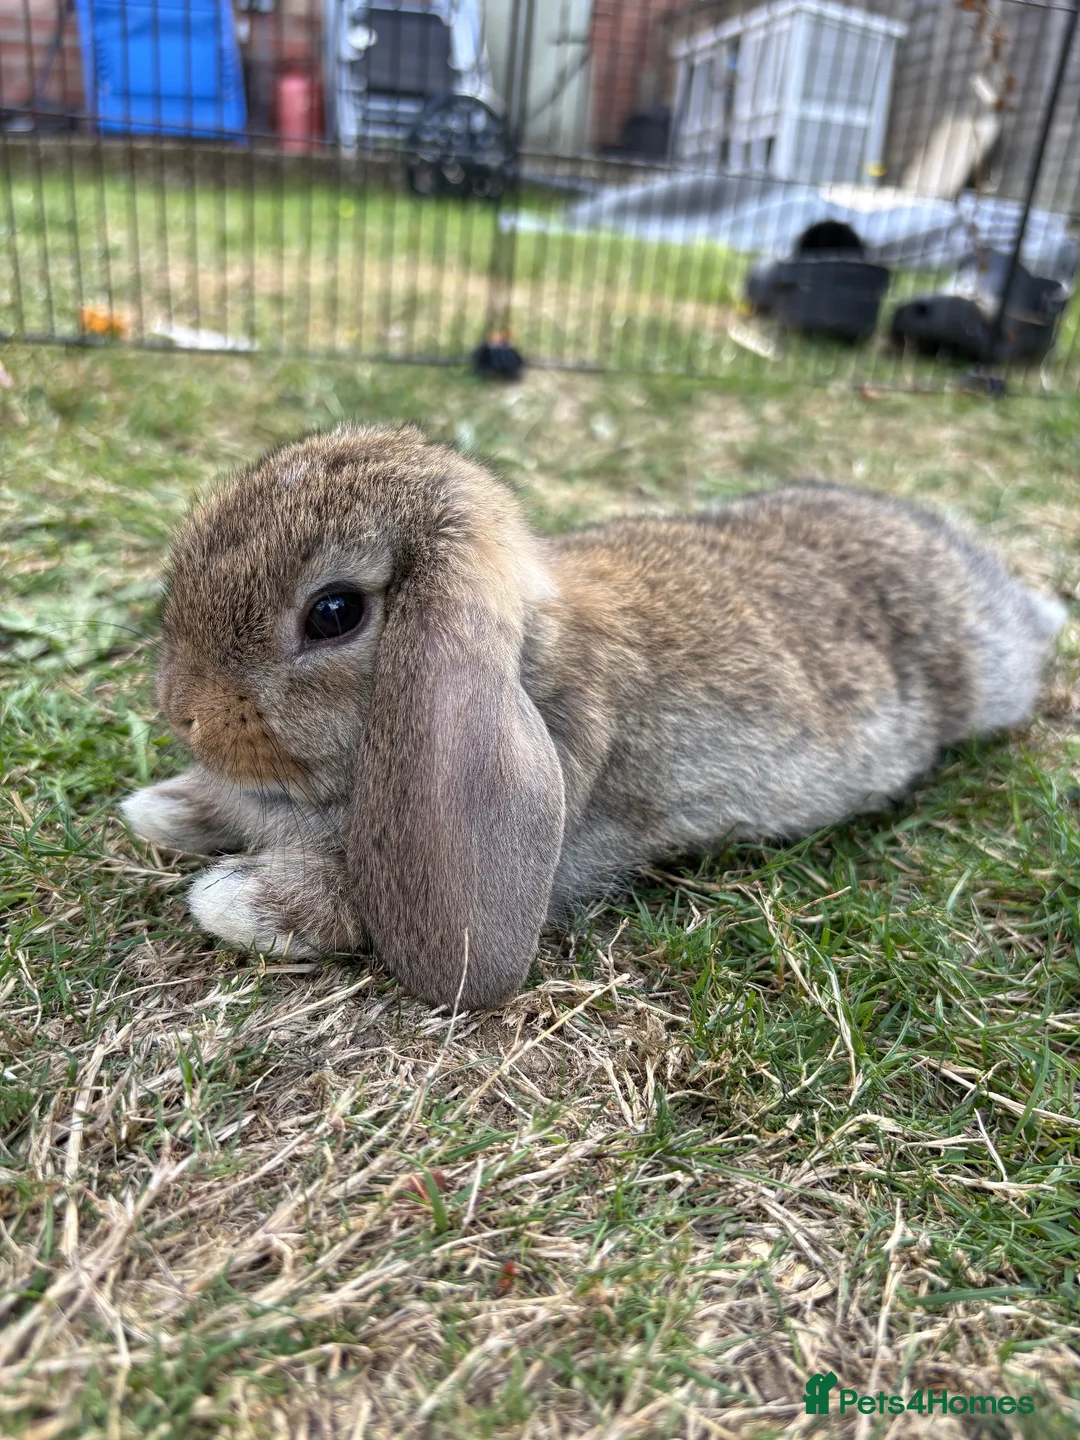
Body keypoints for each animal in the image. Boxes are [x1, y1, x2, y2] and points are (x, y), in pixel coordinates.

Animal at [120, 424, 1066, 1010]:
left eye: (333, 613)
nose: (183, 712)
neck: (531, 660)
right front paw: (166, 808)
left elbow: (356, 891)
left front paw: (238, 902)